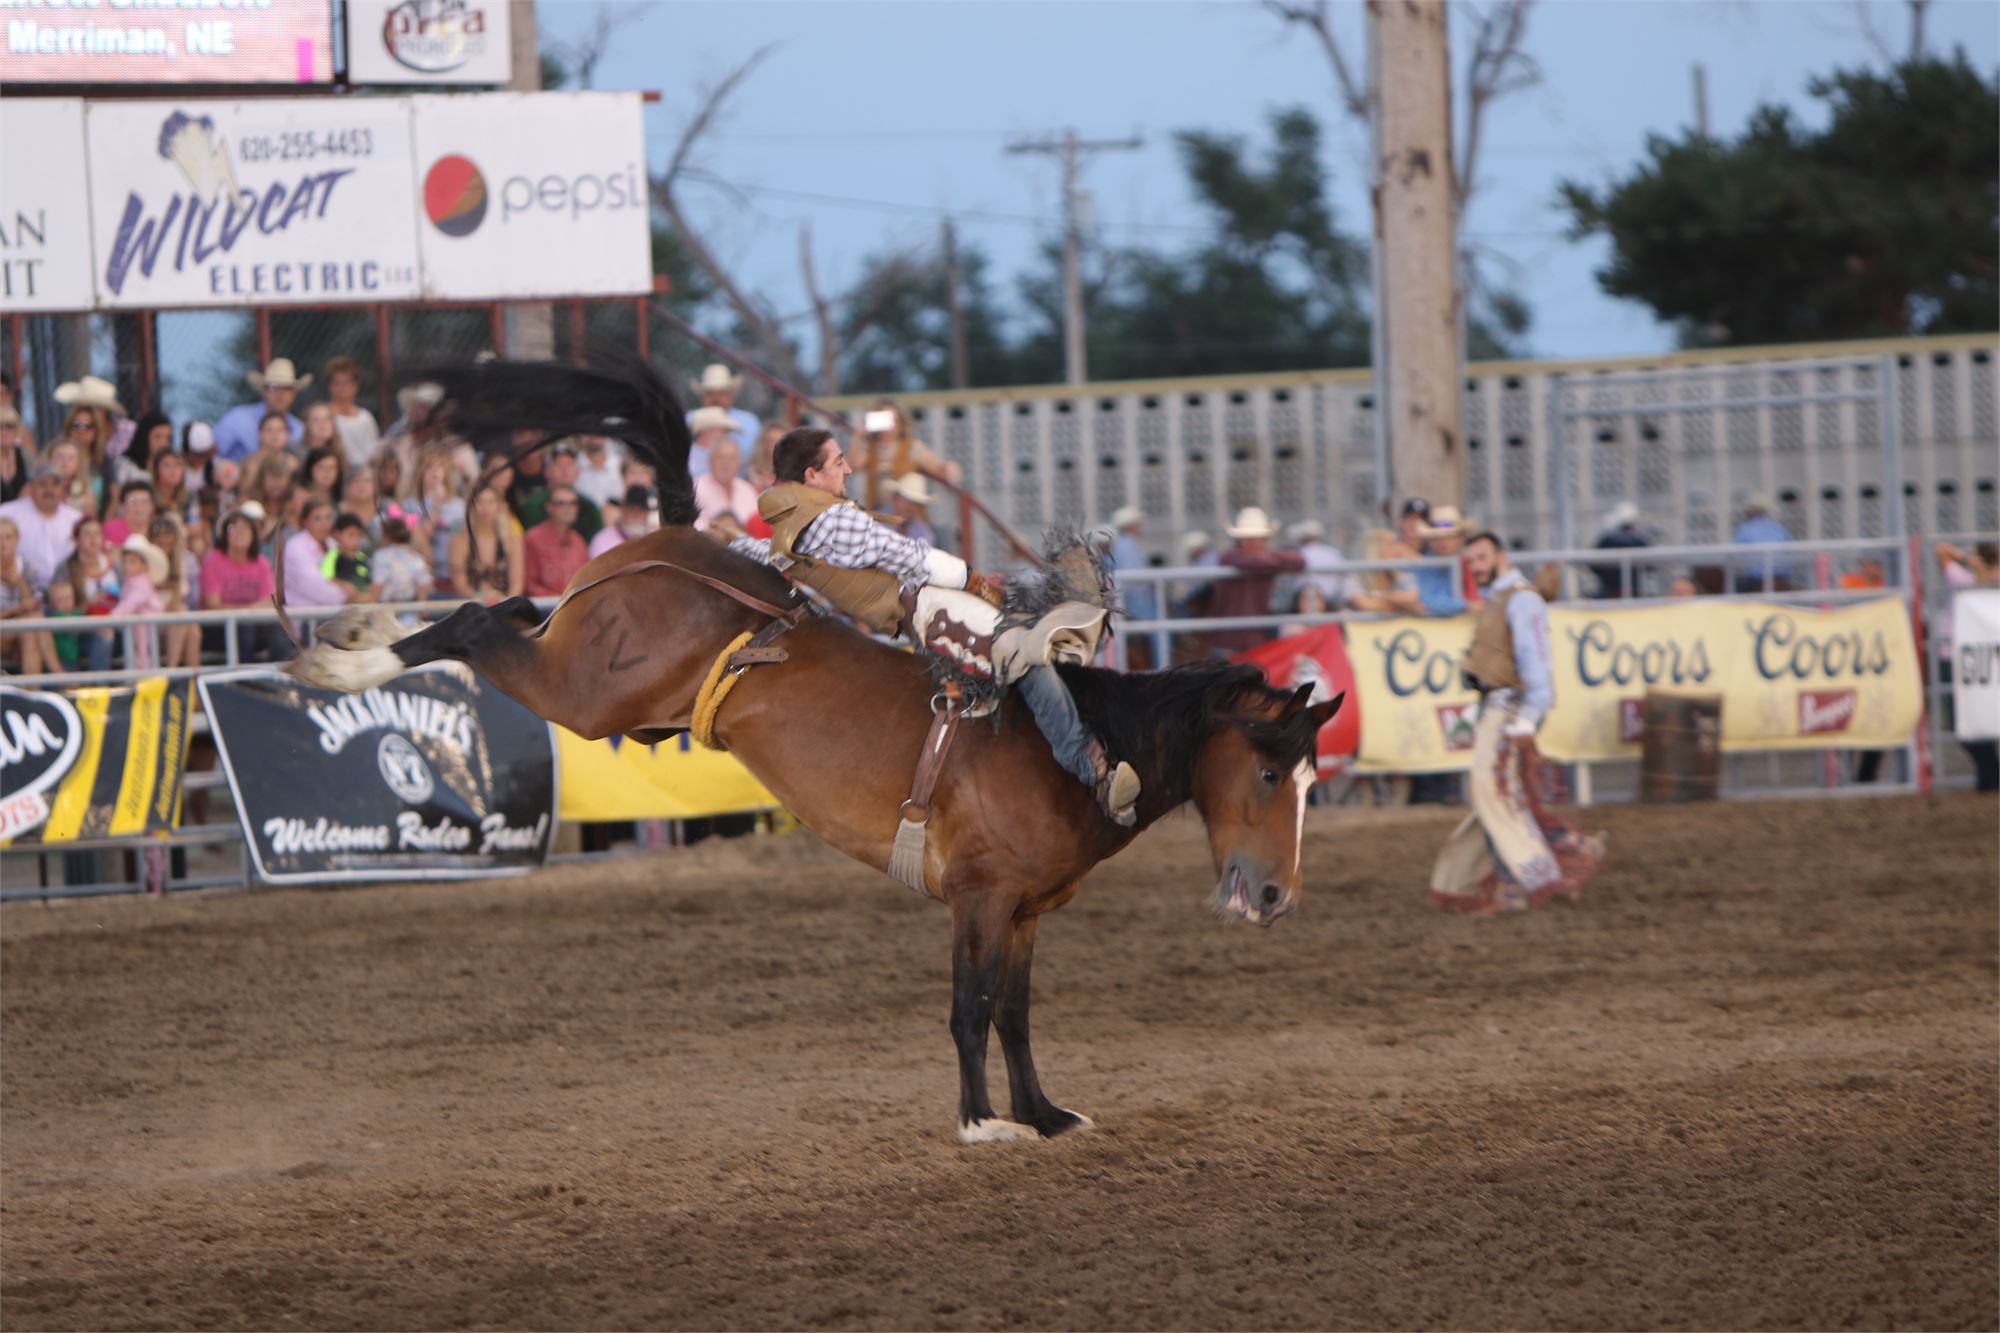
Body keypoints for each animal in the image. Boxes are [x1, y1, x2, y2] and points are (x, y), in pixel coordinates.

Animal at [286, 356, 1344, 1144]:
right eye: (1264, 770)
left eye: (1309, 779)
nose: (1279, 893)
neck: (1067, 747)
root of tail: (671, 535)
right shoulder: (979, 897)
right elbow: (969, 1006)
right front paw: (980, 1123)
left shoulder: (1026, 909)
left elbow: (1014, 1010)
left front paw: (1044, 1114)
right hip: (582, 693)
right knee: (472, 618)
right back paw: (340, 656)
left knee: (504, 609)